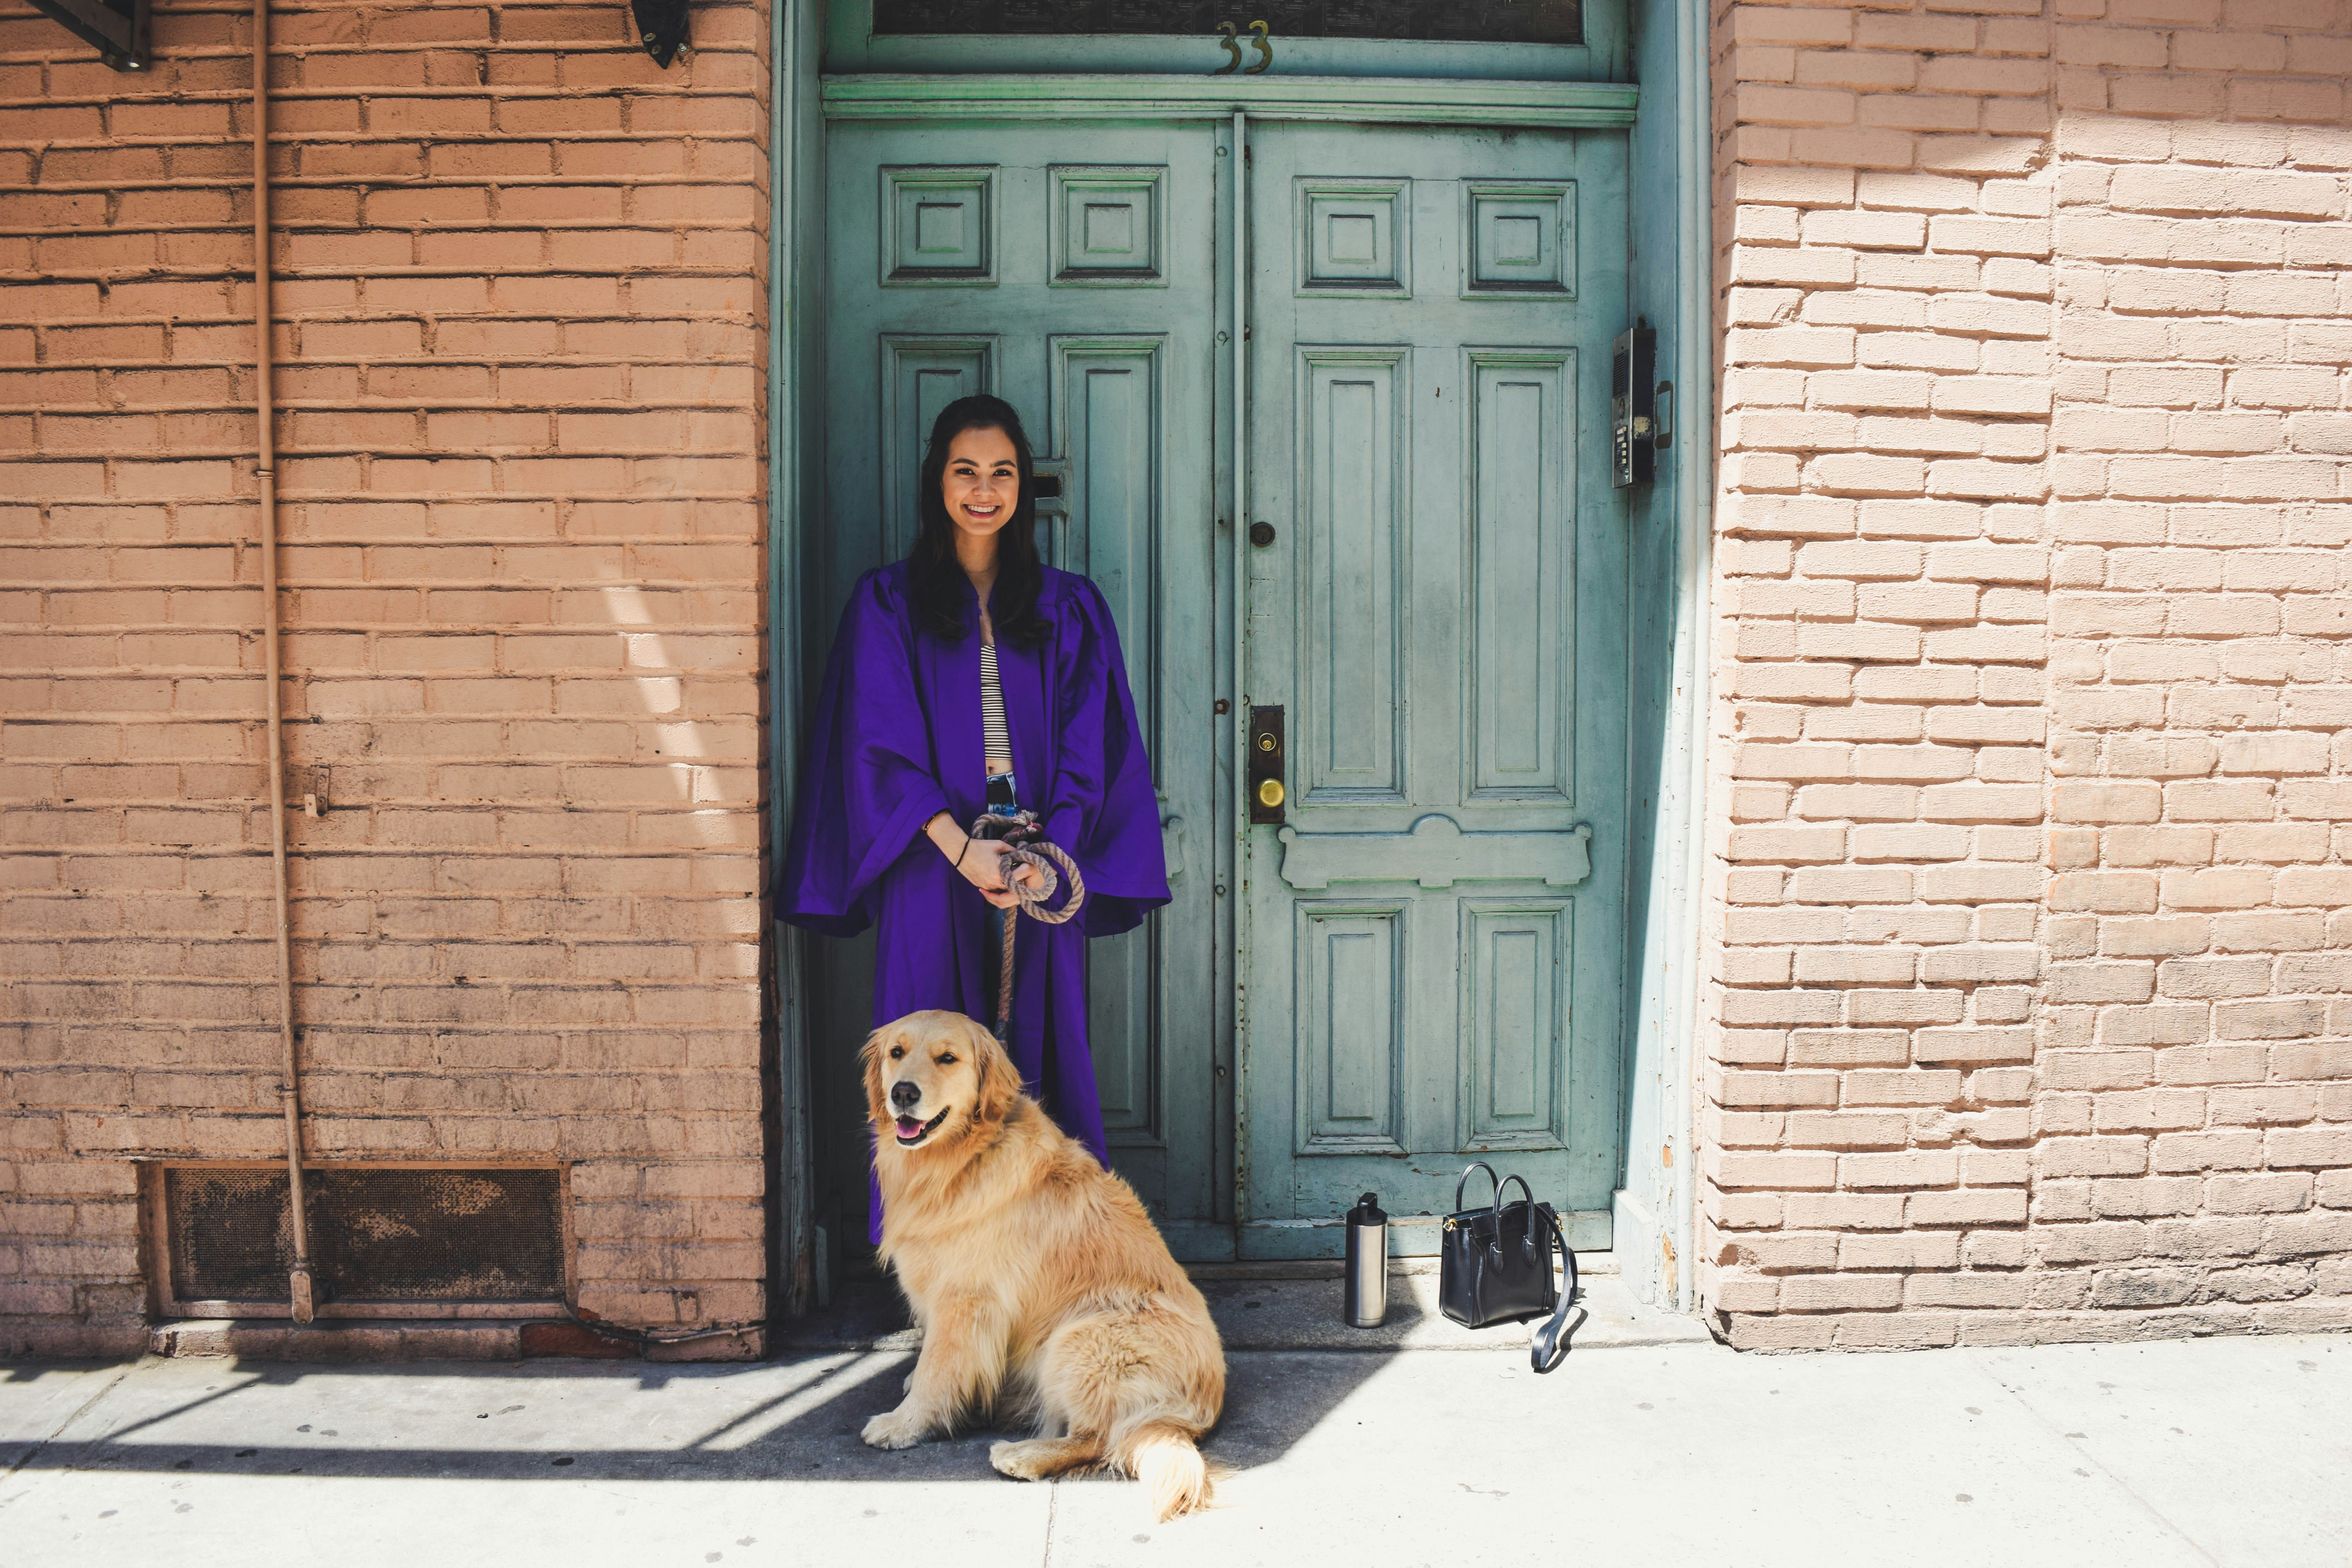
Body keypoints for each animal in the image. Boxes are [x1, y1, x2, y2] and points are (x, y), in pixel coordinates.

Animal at [866, 1011, 1232, 1514]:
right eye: (897, 1052)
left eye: (948, 1058)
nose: (903, 1092)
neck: (963, 1159)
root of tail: (1191, 1418)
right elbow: (931, 1360)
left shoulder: (965, 1301)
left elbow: (937, 1371)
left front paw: (903, 1423)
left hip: (1081, 1337)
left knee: (1099, 1438)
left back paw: (1022, 1455)